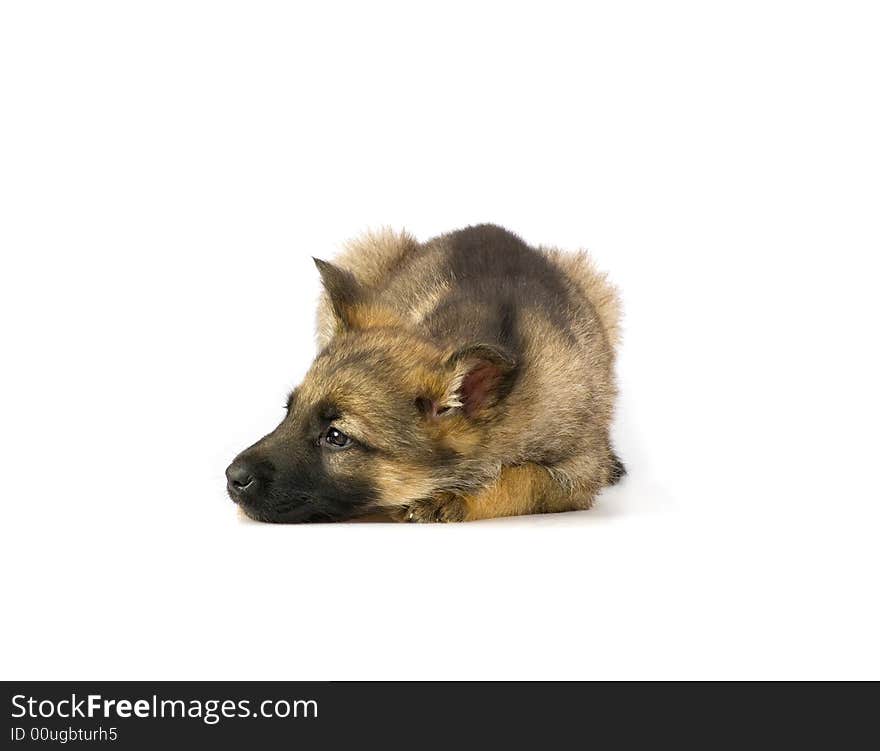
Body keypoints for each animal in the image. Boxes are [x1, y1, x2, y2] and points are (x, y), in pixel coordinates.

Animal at [227, 223, 624, 524]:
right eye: (289, 411)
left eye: (337, 436)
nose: (232, 477)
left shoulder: (578, 472)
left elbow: (525, 478)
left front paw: (454, 497)